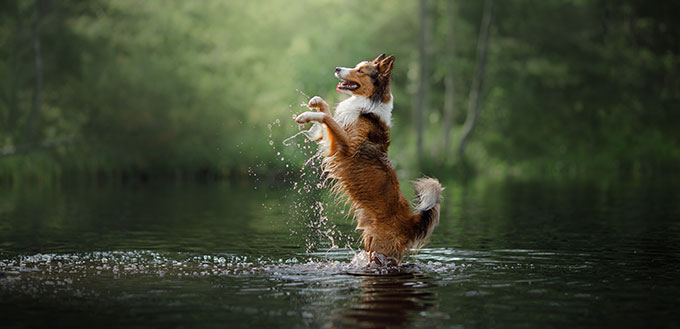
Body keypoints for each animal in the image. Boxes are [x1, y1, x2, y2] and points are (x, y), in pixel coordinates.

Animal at [294, 53, 444, 264]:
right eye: (356, 66)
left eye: (360, 71)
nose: (337, 68)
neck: (367, 106)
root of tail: (411, 223)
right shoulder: (337, 137)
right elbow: (328, 113)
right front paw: (316, 101)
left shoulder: (347, 145)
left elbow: (327, 118)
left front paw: (306, 115)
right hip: (370, 243)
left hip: (381, 249)